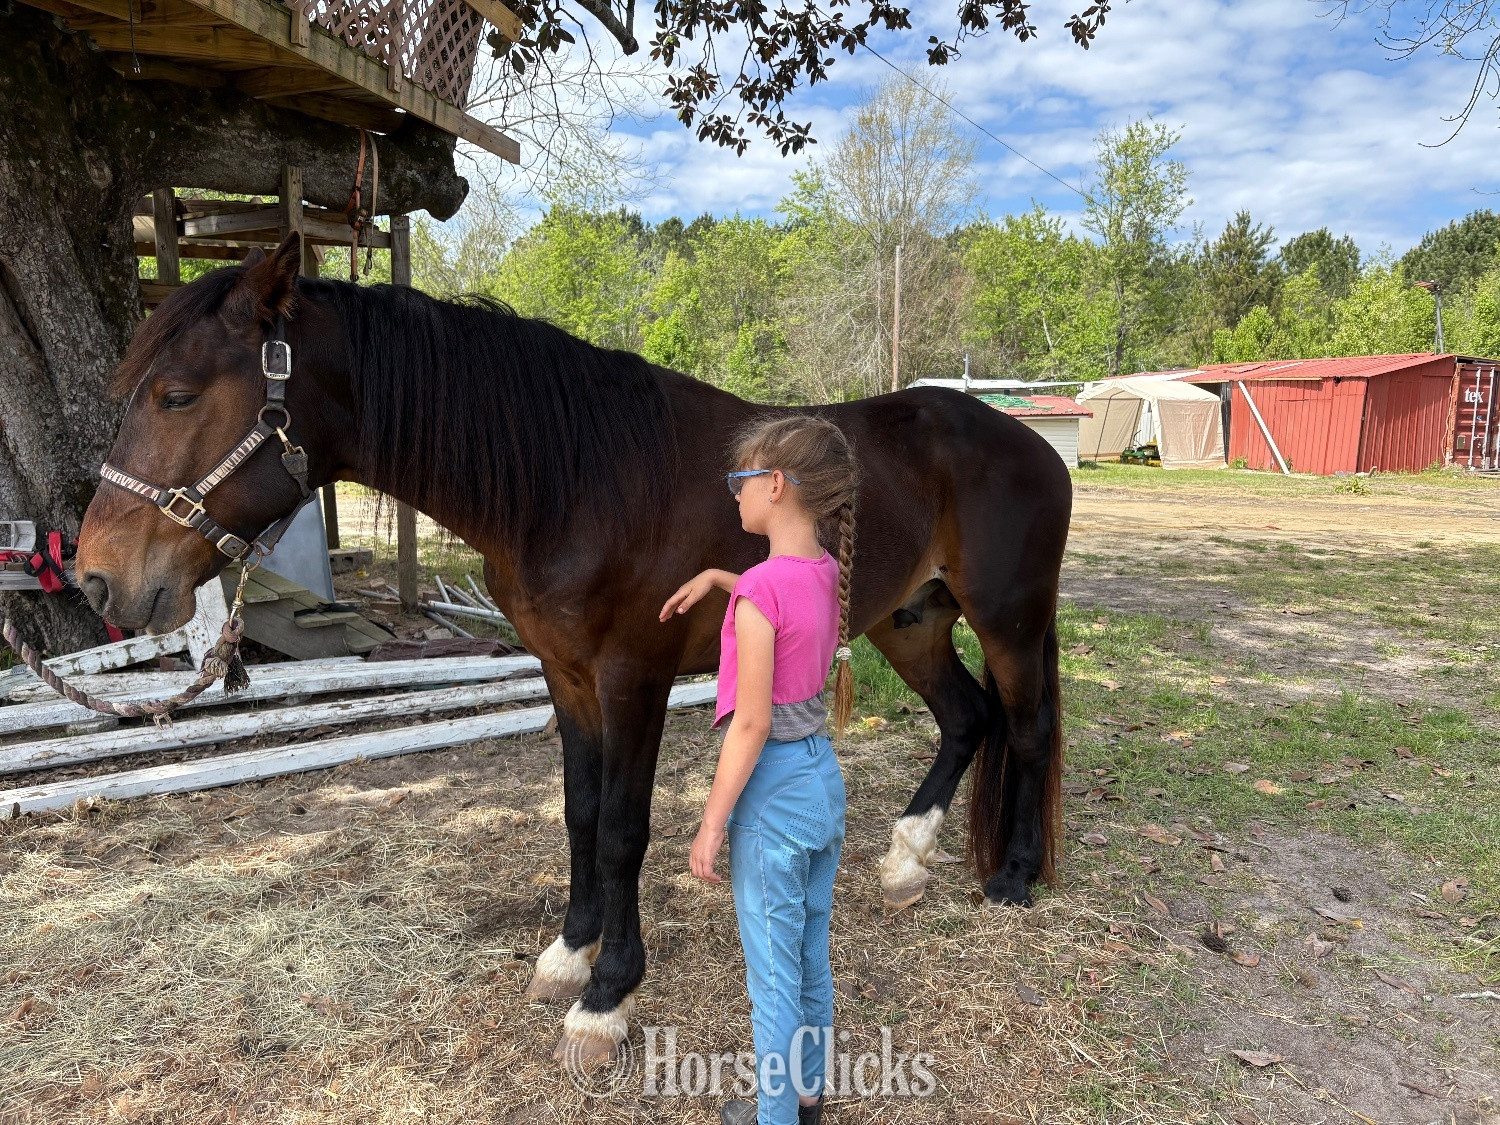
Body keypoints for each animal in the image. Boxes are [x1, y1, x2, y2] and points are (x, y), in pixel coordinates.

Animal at [75, 233, 1072, 1064]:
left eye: (178, 395)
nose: (97, 579)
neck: (579, 477)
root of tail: (1030, 442)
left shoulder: (635, 677)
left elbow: (625, 828)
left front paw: (607, 996)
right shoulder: (568, 675)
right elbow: (581, 813)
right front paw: (569, 950)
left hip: (1009, 618)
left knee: (1023, 728)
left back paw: (1014, 877)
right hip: (912, 620)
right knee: (966, 718)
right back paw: (906, 857)